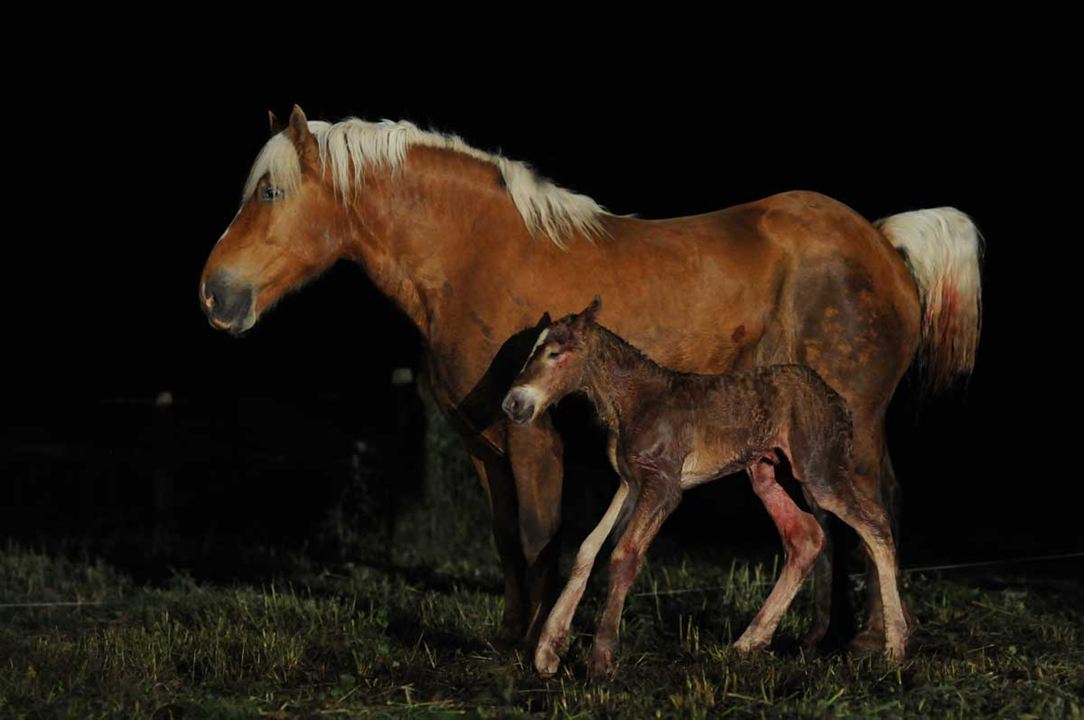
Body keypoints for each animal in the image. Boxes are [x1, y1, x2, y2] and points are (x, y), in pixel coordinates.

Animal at [502, 299, 910, 680]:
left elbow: (623, 556)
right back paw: (749, 641)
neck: (631, 402)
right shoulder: (630, 483)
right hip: (765, 472)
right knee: (806, 535)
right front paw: (548, 651)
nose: (513, 404)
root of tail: (839, 403)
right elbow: (587, 549)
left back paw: (895, 647)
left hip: (819, 470)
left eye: (556, 354)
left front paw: (600, 661)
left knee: (876, 524)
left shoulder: (664, 484)